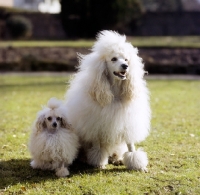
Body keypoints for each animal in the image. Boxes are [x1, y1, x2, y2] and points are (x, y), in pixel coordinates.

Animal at [65, 29, 151, 171]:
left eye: (126, 59)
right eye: (113, 59)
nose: (125, 66)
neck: (115, 91)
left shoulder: (127, 122)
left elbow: (131, 146)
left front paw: (137, 164)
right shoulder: (97, 126)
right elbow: (98, 147)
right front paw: (99, 163)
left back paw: (117, 158)